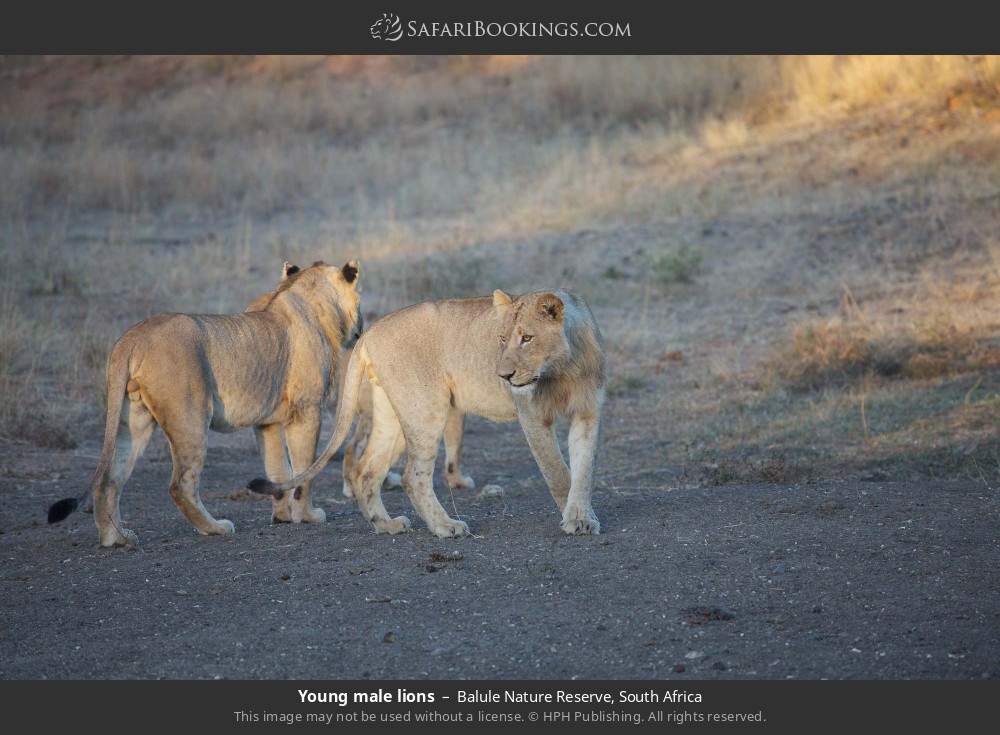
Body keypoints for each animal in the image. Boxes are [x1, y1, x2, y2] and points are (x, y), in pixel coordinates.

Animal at [48, 260, 363, 547]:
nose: (362, 326)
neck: (306, 293)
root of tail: (131, 339)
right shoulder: (306, 410)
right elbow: (304, 469)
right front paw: (307, 515)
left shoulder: (267, 422)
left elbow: (278, 468)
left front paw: (283, 516)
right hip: (190, 417)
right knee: (180, 485)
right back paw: (216, 528)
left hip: (131, 419)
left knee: (109, 479)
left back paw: (117, 538)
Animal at [249, 289, 606, 538]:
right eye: (503, 339)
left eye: (528, 338)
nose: (503, 376)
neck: (563, 369)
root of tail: (370, 332)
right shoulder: (531, 415)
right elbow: (557, 471)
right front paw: (572, 519)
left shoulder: (587, 413)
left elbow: (584, 469)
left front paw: (582, 516)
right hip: (426, 408)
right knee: (412, 476)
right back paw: (446, 527)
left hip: (392, 416)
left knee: (366, 471)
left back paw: (386, 525)